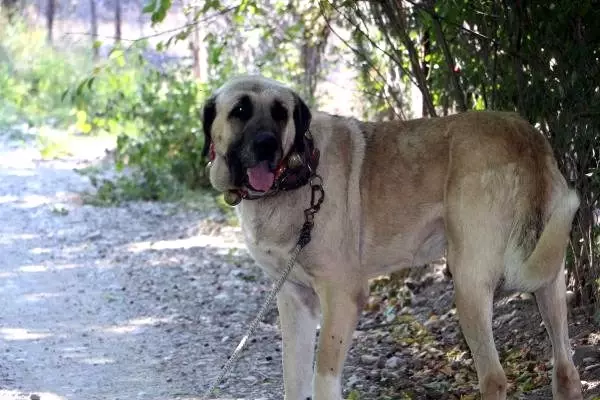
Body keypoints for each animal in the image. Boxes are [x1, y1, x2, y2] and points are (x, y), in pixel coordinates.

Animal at [200, 76, 580, 400]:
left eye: (281, 113)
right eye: (240, 111)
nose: (267, 145)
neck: (298, 171)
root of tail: (526, 135)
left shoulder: (342, 295)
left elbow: (323, 378)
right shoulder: (295, 300)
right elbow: (294, 380)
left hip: (469, 284)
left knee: (494, 379)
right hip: (549, 283)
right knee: (567, 372)